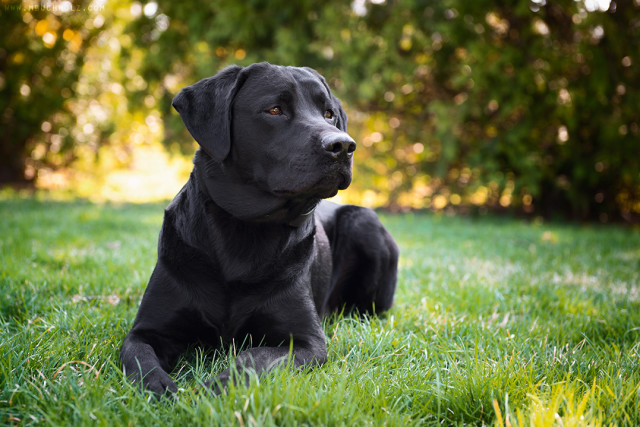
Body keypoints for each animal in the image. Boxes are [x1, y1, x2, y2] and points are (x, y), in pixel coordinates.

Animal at [120, 62, 398, 394]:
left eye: (329, 113)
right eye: (275, 110)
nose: (342, 144)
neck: (246, 231)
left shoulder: (306, 342)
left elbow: (253, 358)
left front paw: (214, 388)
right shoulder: (145, 330)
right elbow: (141, 359)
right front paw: (162, 390)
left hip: (364, 222)